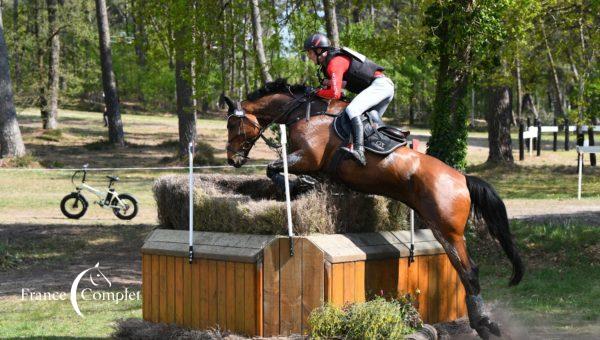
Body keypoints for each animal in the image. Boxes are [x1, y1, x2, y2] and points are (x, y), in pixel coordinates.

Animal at [223, 79, 524, 338]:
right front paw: (304, 185)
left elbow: (273, 168)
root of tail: (462, 179)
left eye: (233, 125)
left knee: (469, 271)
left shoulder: (308, 157)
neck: (303, 113)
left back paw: (484, 324)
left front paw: (299, 183)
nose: (232, 159)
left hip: (447, 230)